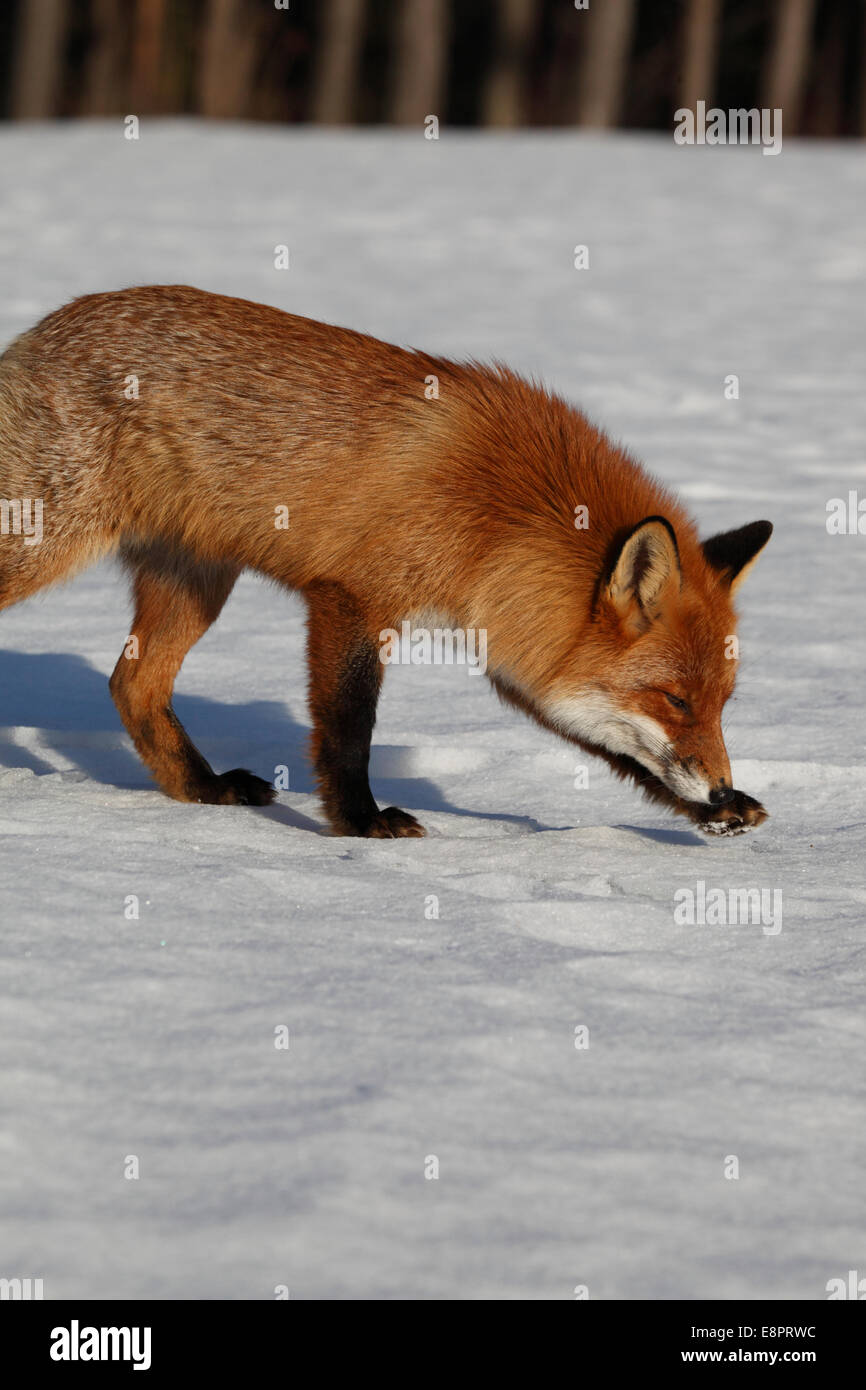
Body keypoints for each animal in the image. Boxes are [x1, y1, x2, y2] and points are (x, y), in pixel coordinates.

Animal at [0, 284, 772, 834]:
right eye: (675, 700)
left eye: (720, 703)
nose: (720, 785)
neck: (503, 511)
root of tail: (41, 330)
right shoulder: (352, 597)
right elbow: (348, 727)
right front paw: (360, 823)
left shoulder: (519, 642)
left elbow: (615, 747)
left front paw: (719, 810)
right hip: (46, 546)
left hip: (196, 580)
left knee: (131, 686)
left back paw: (203, 787)